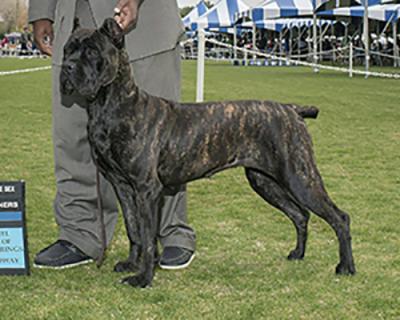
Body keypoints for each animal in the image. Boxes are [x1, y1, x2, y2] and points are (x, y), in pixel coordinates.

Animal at [60, 18, 356, 288]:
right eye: (67, 49)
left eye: (92, 52)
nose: (67, 67)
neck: (110, 105)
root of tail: (292, 109)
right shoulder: (123, 187)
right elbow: (134, 229)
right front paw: (132, 264)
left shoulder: (147, 189)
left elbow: (147, 236)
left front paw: (143, 277)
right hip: (265, 181)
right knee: (300, 215)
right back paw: (298, 254)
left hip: (300, 177)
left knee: (339, 217)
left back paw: (346, 267)